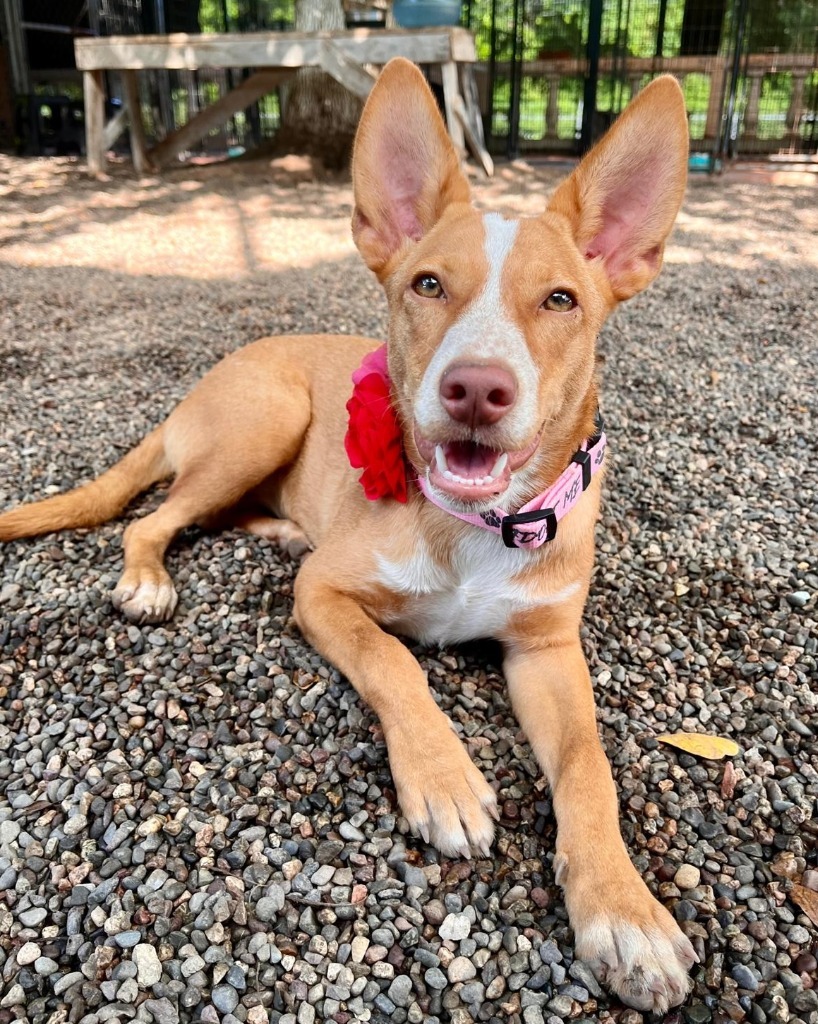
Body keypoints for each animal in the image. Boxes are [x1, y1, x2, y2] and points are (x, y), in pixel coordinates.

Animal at [0, 59, 696, 1011]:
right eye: (428, 285)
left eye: (561, 300)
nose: (477, 390)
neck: (473, 523)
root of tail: (213, 372)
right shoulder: (326, 597)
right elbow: (394, 661)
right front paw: (444, 779)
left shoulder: (548, 648)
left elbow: (589, 765)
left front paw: (626, 913)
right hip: (264, 420)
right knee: (153, 518)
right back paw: (150, 578)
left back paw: (280, 528)